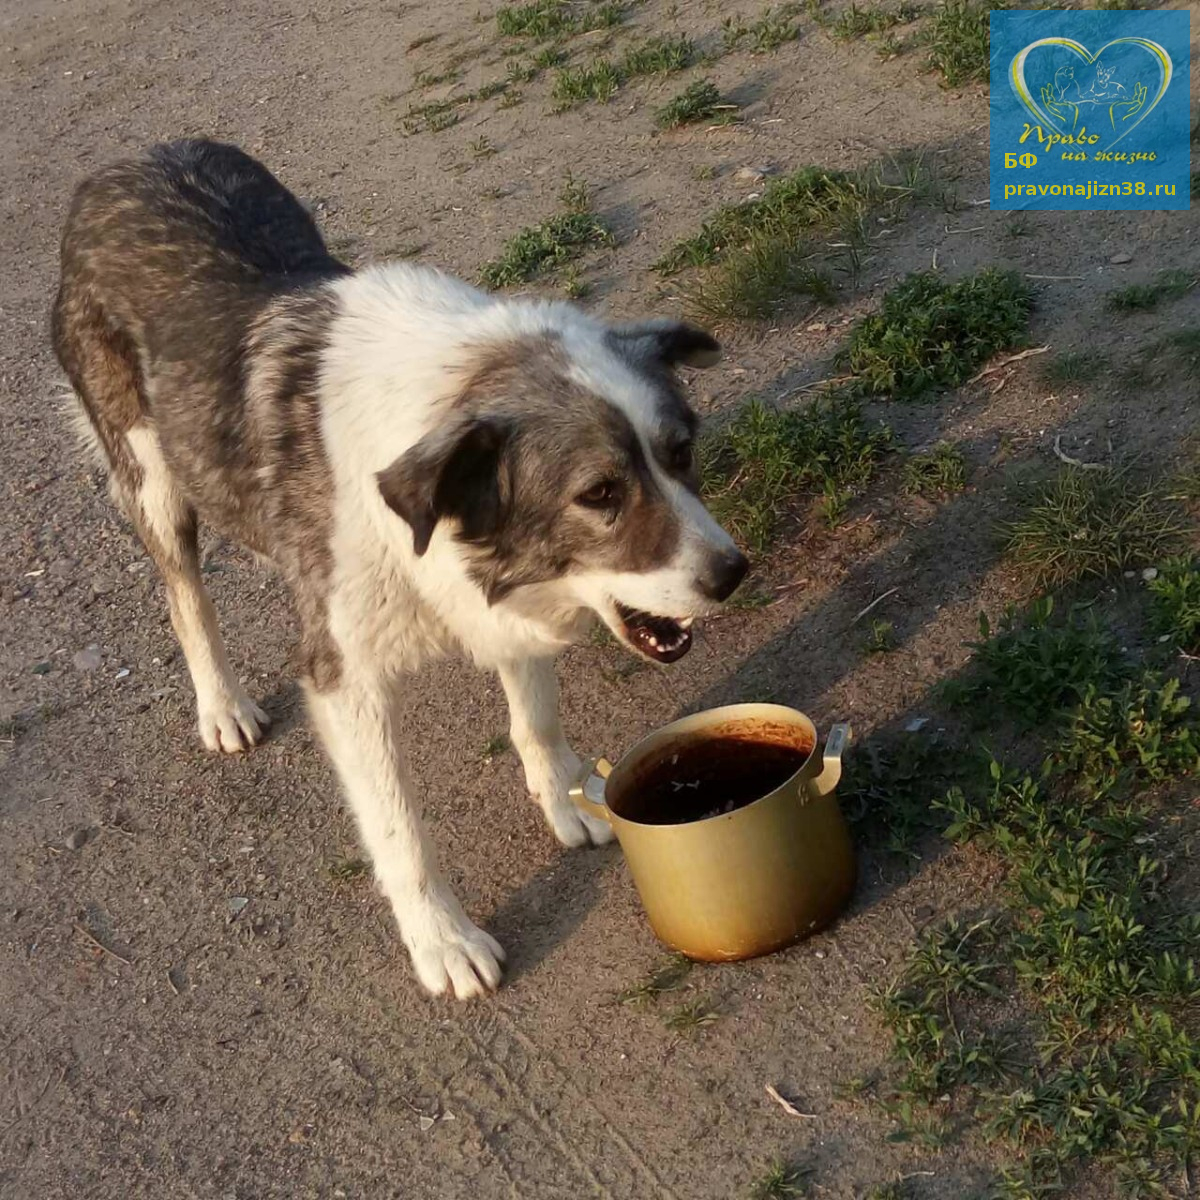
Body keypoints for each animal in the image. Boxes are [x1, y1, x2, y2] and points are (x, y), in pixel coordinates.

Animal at [54, 138, 748, 1003]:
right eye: (599, 493)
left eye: (681, 452)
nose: (732, 573)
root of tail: (133, 159)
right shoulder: (342, 678)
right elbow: (399, 829)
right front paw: (443, 941)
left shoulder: (501, 603)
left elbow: (536, 717)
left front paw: (565, 798)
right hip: (151, 477)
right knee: (184, 594)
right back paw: (222, 705)